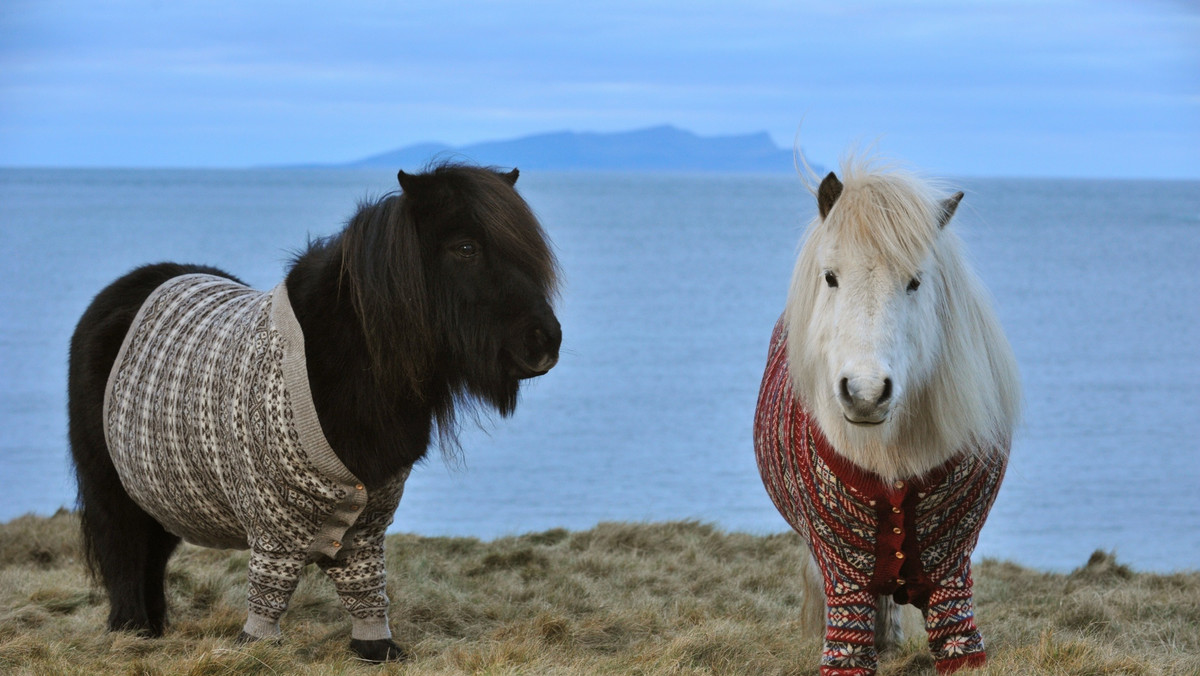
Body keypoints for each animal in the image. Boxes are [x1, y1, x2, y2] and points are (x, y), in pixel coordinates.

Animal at [69, 164, 561, 662]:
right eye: (465, 248)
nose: (545, 342)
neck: (342, 364)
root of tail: (129, 286)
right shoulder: (273, 523)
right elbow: (270, 587)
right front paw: (255, 646)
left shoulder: (367, 523)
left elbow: (365, 586)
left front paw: (377, 648)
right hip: (114, 486)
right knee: (125, 550)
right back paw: (132, 630)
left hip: (161, 493)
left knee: (150, 553)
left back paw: (153, 628)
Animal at [753, 156, 1017, 672]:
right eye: (830, 276)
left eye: (915, 281)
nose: (865, 393)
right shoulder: (843, 572)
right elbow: (847, 644)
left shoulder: (951, 573)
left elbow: (959, 642)